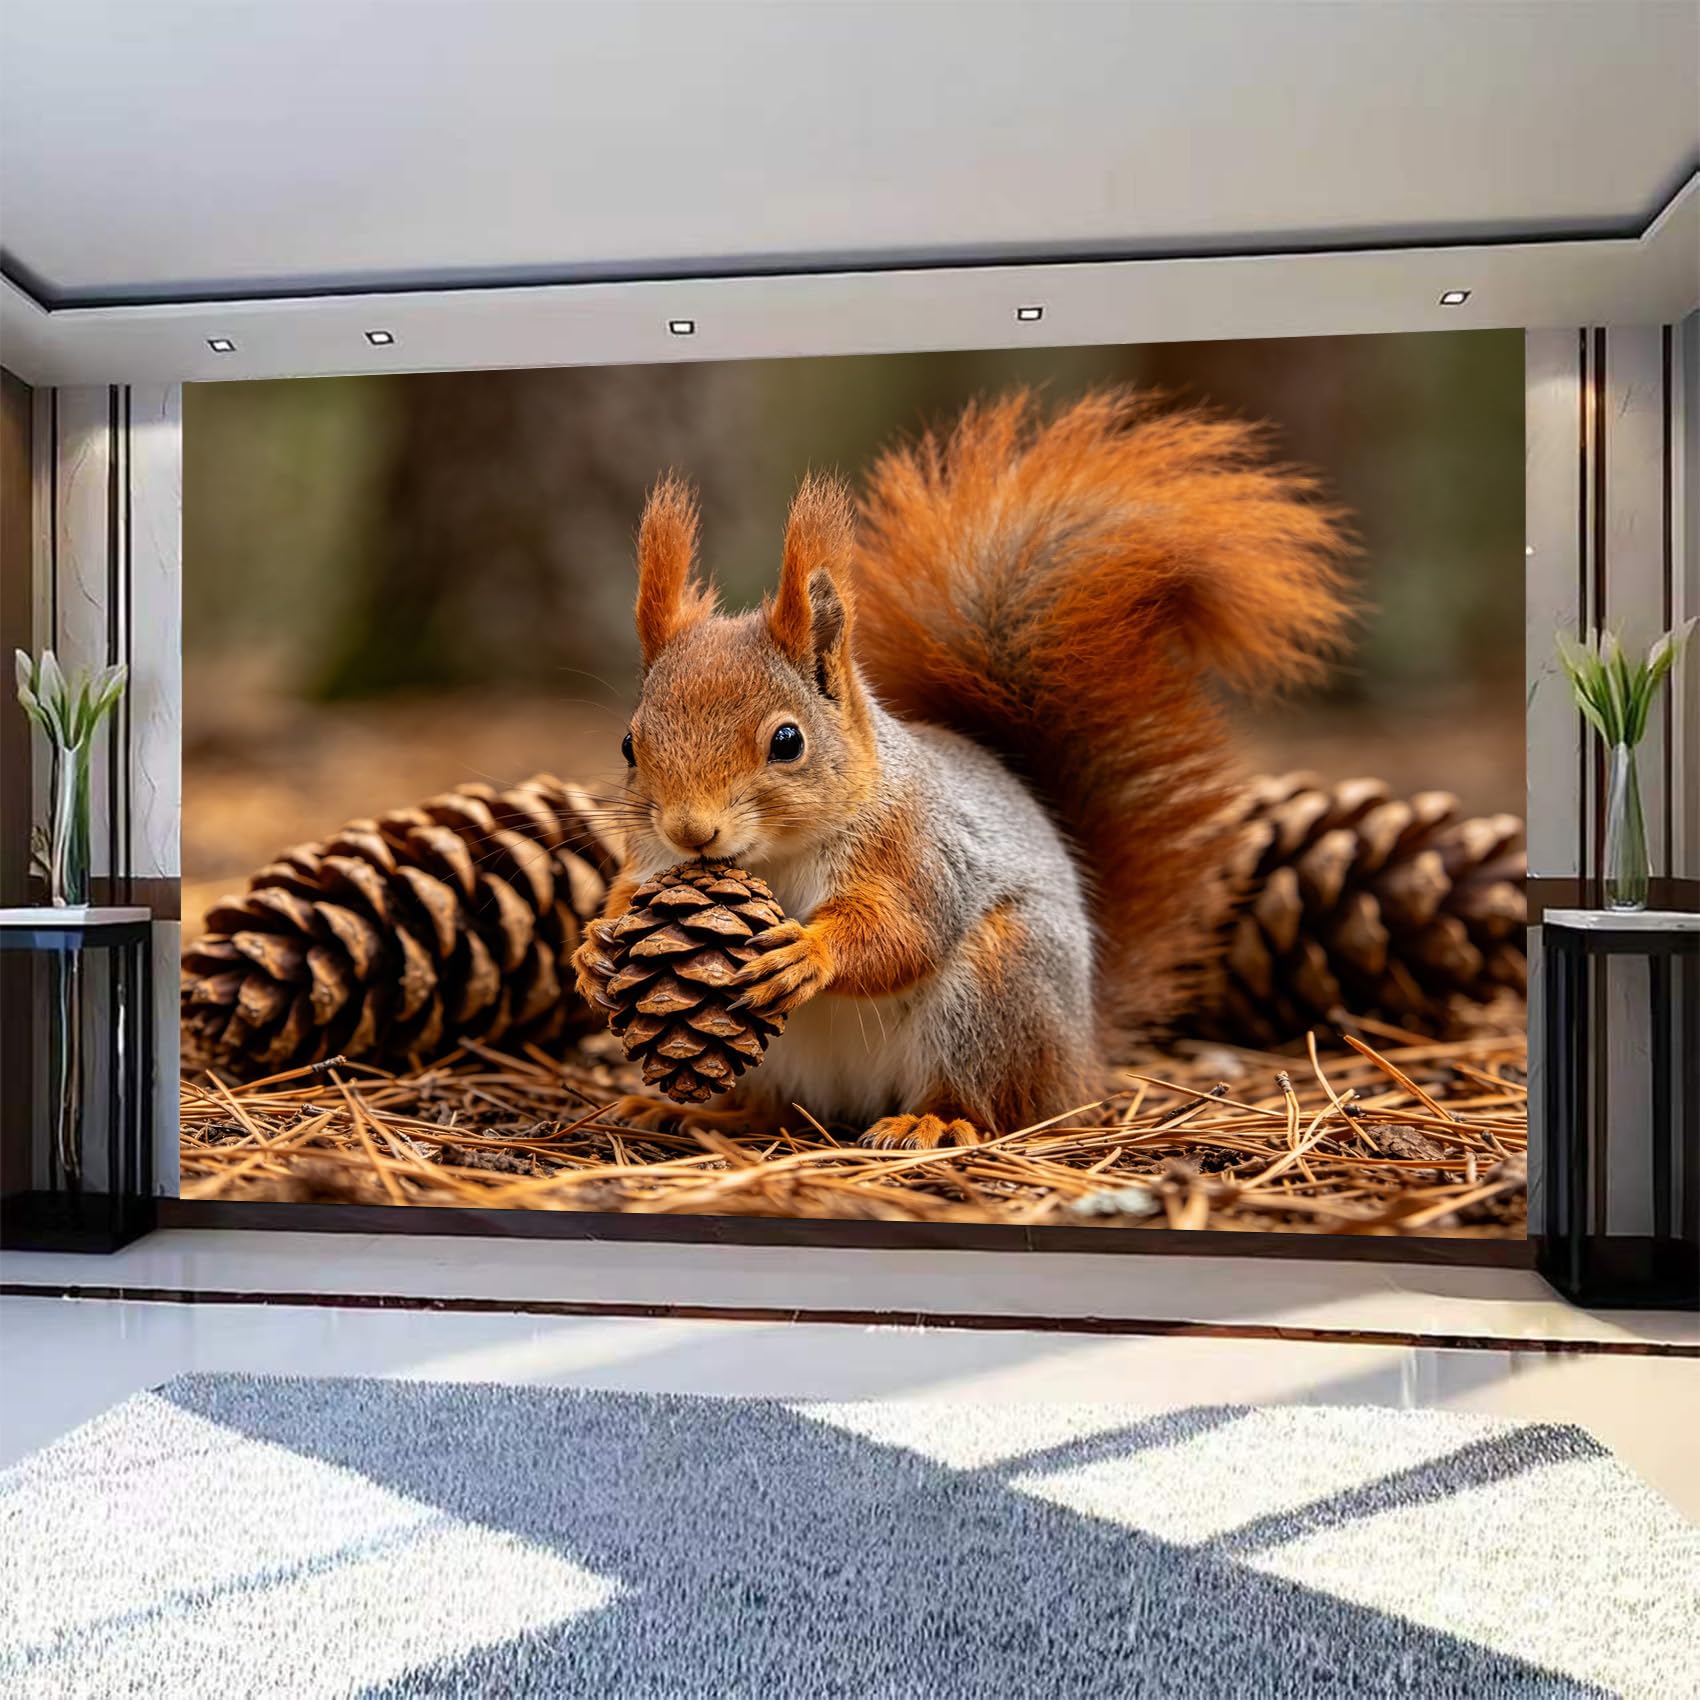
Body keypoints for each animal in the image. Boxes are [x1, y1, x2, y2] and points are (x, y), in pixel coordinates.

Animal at [573, 388, 1353, 1147]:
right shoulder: (651, 859)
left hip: (993, 993)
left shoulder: (915, 850)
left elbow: (902, 933)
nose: (691, 832)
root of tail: (1081, 1055)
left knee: (989, 1102)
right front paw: (590, 952)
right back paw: (700, 1115)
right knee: (774, 1113)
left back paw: (934, 1120)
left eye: (788, 741)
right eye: (629, 744)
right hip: (786, 1063)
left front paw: (811, 950)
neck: (774, 856)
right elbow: (626, 894)